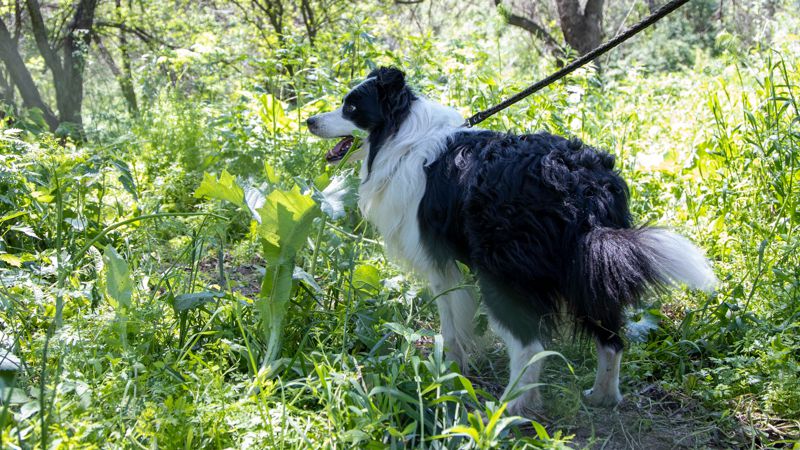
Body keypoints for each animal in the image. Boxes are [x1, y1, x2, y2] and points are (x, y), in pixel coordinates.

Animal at [306, 67, 720, 414]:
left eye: (351, 107)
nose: (309, 120)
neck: (400, 133)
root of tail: (579, 184)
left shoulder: (438, 261)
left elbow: (451, 324)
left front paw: (449, 371)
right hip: (590, 267)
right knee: (611, 337)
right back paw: (602, 396)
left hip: (504, 273)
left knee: (530, 345)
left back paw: (509, 407)